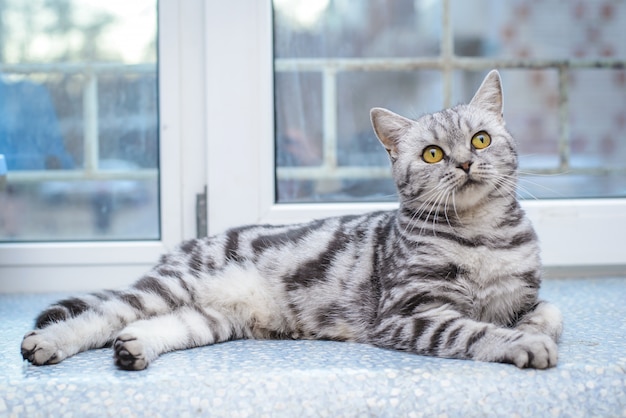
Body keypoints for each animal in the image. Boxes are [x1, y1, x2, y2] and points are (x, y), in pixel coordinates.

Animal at [20, 70, 560, 370]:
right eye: (432, 153)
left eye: (480, 140)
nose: (465, 163)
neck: (481, 235)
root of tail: (183, 246)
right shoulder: (410, 313)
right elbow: (475, 331)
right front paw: (522, 343)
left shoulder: (521, 294)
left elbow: (548, 311)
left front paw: (537, 328)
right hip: (170, 287)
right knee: (104, 315)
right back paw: (48, 342)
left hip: (215, 316)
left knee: (158, 326)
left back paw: (135, 349)